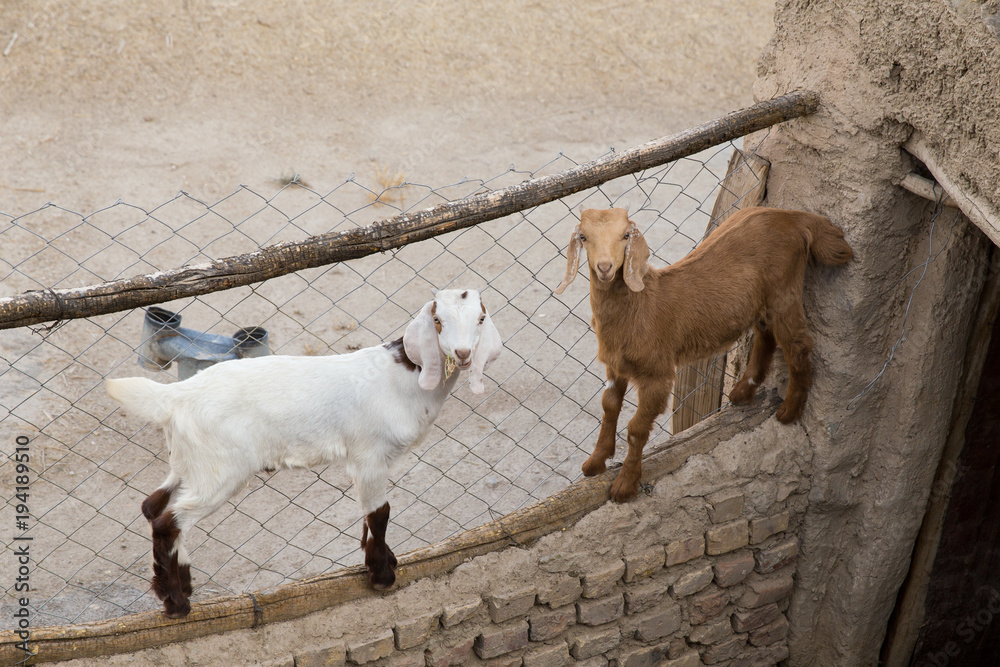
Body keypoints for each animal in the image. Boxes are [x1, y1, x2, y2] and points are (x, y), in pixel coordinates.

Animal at [106, 289, 502, 617]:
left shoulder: (368, 461)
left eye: (481, 319)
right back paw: (176, 603)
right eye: (438, 321)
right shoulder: (370, 455)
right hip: (221, 469)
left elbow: (368, 513)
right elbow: (380, 513)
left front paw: (383, 561)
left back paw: (179, 585)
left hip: (189, 461)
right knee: (169, 521)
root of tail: (176, 396)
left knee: (154, 506)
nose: (463, 355)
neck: (404, 377)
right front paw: (382, 575)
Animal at [554, 206, 852, 503]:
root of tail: (794, 217)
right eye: (583, 237)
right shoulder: (615, 368)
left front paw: (624, 486)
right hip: (762, 300)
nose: (605, 268)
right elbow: (609, 408)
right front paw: (594, 463)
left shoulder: (657, 374)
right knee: (766, 335)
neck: (639, 305)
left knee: (797, 345)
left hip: (784, 290)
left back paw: (789, 412)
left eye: (626, 235)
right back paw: (743, 392)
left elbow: (636, 428)